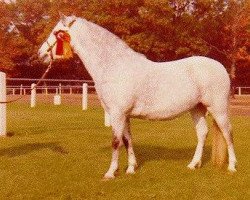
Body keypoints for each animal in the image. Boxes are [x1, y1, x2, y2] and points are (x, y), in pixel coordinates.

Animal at [38, 14, 236, 179]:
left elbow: (116, 141)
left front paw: (111, 172)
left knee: (227, 132)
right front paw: (131, 168)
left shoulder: (117, 114)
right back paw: (193, 164)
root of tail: (220, 67)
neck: (115, 66)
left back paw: (232, 166)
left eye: (57, 33)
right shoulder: (124, 115)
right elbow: (127, 140)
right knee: (202, 133)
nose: (40, 54)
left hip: (218, 108)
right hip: (197, 109)